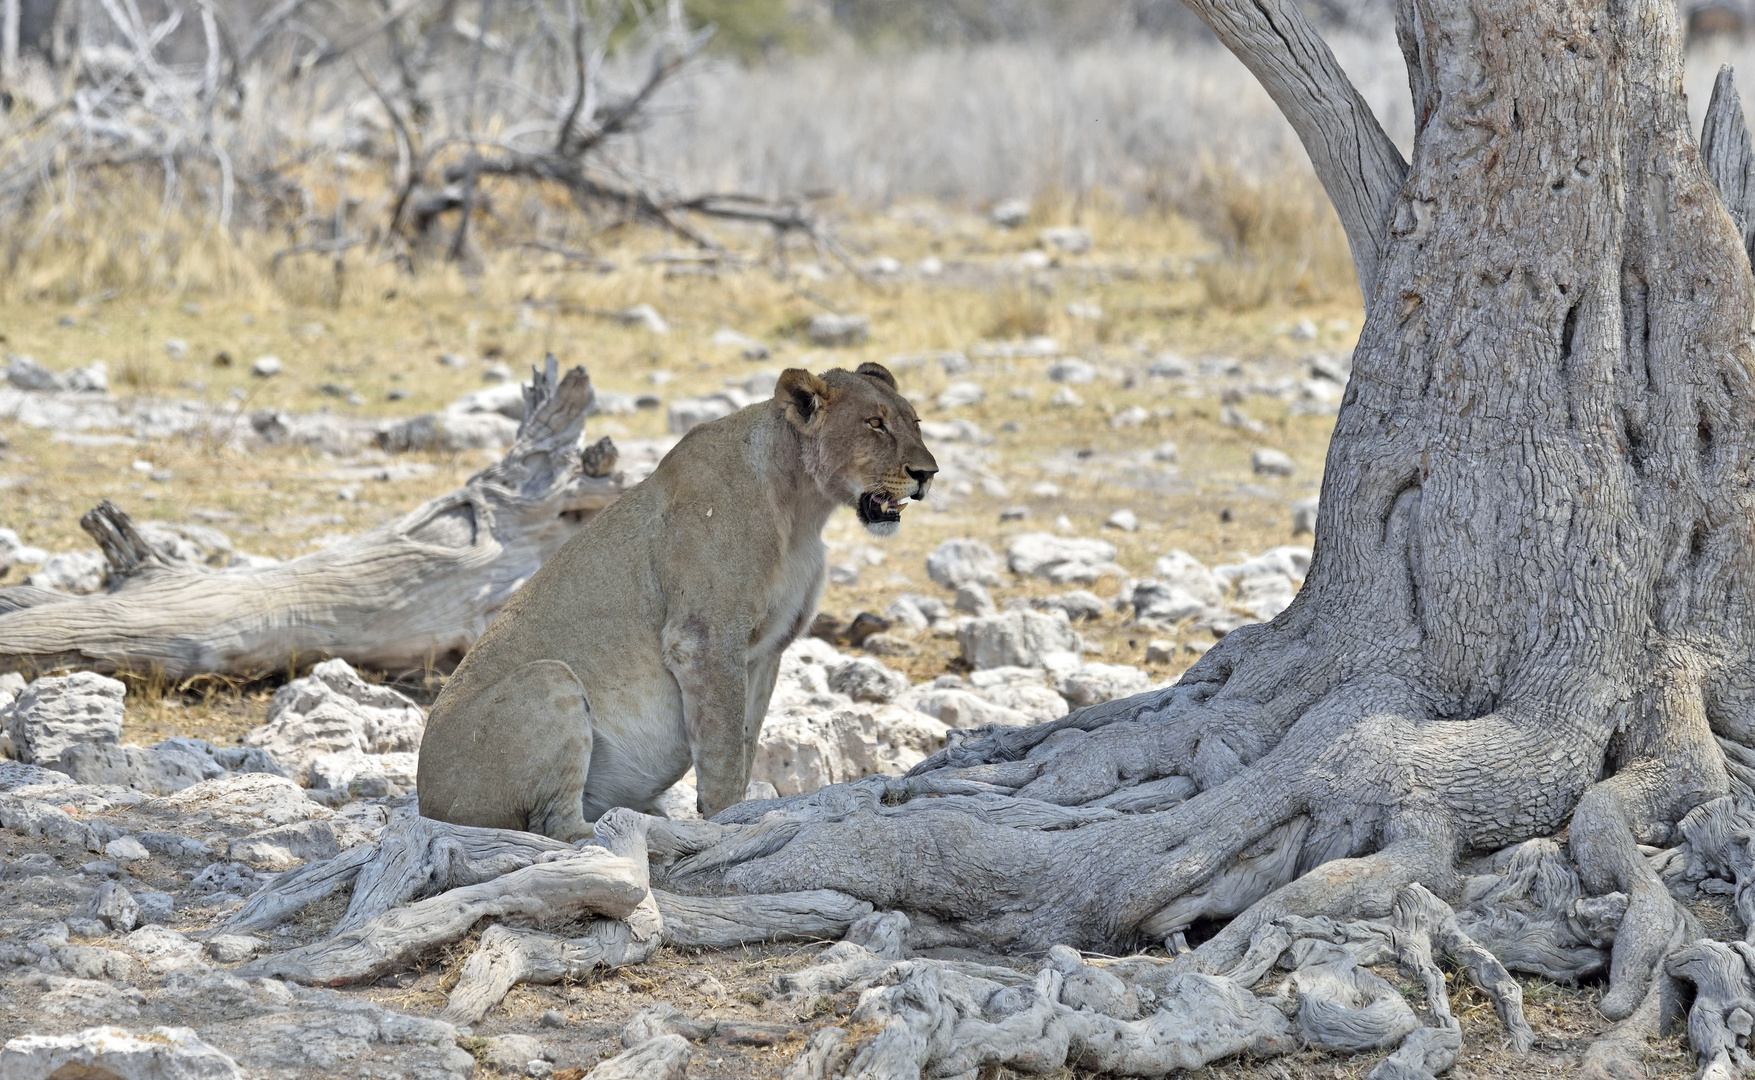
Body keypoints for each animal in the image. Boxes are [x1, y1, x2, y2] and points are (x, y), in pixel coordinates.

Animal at [417, 363, 940, 835]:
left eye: (914, 422)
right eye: (875, 424)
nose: (928, 473)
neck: (802, 511)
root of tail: (426, 803)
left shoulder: (766, 651)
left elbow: (746, 741)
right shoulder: (704, 638)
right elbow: (723, 749)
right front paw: (728, 820)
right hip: (549, 678)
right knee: (559, 828)